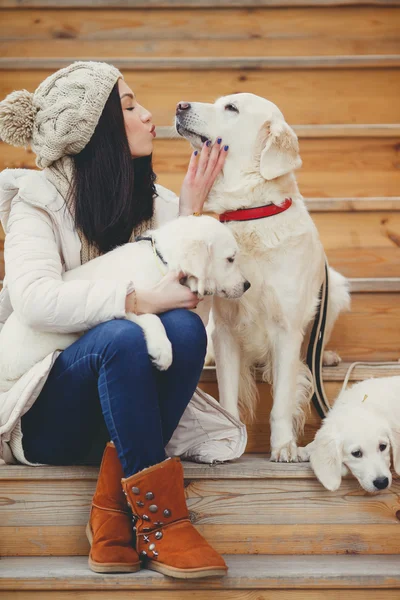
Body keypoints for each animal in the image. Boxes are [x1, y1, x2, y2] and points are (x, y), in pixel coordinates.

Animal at [0, 216, 250, 394]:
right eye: (230, 259)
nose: (247, 285)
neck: (162, 263)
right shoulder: (129, 301)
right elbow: (152, 317)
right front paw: (163, 351)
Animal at [176, 91, 350, 462]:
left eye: (231, 108)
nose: (180, 106)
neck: (250, 214)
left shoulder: (286, 329)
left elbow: (281, 401)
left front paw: (284, 446)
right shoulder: (226, 329)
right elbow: (227, 396)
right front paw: (230, 441)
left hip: (336, 288)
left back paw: (325, 356)